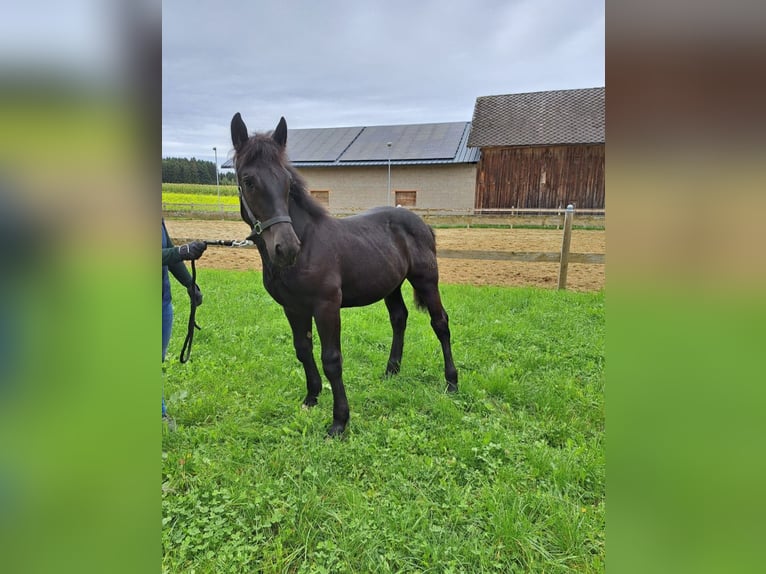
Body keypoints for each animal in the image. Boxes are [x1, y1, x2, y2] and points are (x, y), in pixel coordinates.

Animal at [228, 115, 456, 438]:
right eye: (248, 181)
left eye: (287, 182)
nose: (287, 248)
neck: (308, 242)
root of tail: (420, 222)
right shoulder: (293, 308)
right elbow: (303, 349)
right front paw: (311, 398)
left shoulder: (326, 306)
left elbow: (332, 359)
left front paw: (339, 422)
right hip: (391, 285)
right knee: (399, 318)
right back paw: (391, 371)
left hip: (426, 280)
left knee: (440, 323)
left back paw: (451, 382)